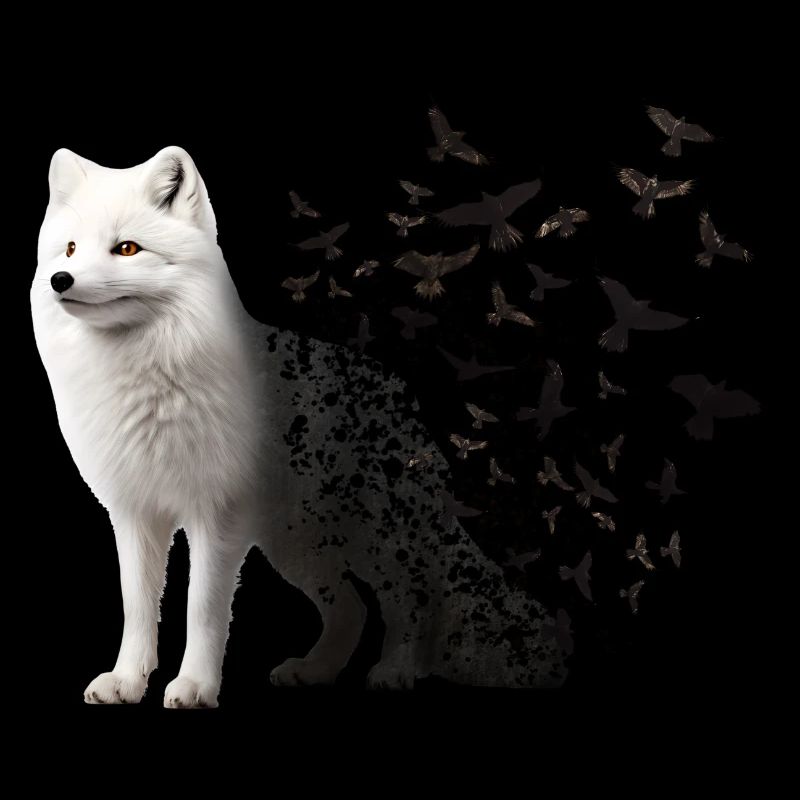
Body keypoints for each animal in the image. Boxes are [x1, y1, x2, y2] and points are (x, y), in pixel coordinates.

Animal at [30, 146, 565, 708]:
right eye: (69, 248)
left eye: (127, 249)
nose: (61, 279)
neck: (149, 380)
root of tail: (400, 394)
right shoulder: (134, 514)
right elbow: (136, 607)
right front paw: (127, 681)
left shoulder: (216, 516)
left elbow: (202, 608)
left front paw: (194, 685)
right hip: (296, 542)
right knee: (353, 608)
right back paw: (316, 671)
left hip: (372, 537)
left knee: (413, 601)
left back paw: (394, 671)